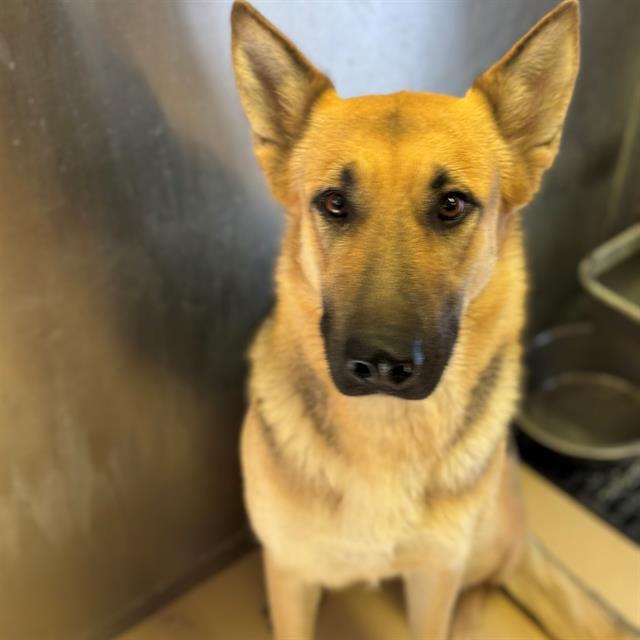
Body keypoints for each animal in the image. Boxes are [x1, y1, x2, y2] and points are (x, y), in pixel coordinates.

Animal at [231, 2, 640, 636]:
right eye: (333, 203)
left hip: (482, 546)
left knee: (492, 578)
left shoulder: (434, 579)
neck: (387, 433)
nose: (379, 363)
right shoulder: (292, 573)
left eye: (452, 205)